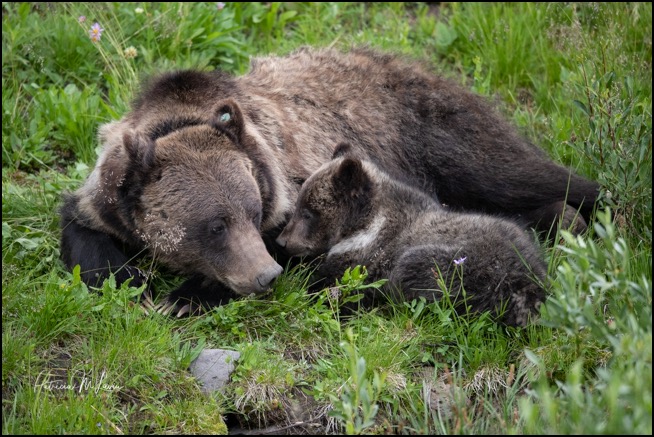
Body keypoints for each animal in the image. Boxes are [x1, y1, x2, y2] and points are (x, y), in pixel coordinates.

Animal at [276, 145, 548, 326]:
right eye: (299, 205)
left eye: (308, 212)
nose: (282, 241)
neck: (365, 225)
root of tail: (524, 285)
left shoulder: (364, 259)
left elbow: (333, 283)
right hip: (517, 239)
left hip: (458, 266)